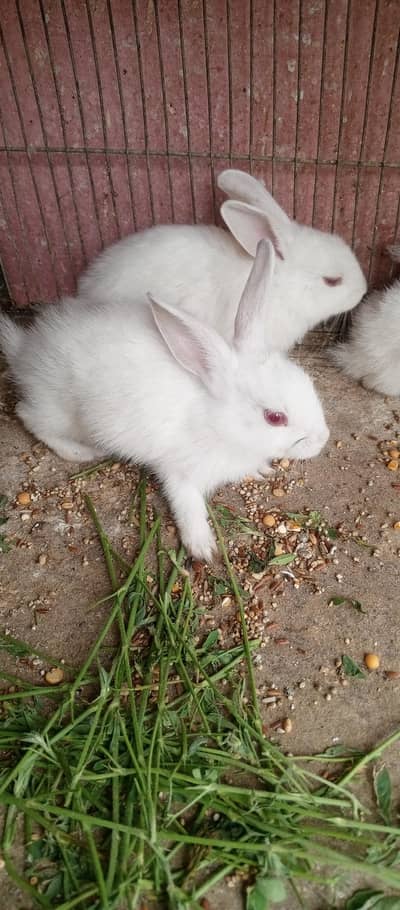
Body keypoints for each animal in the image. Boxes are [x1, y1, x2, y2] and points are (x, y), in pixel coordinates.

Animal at [0, 239, 329, 562]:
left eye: (307, 382)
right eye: (275, 417)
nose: (323, 439)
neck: (217, 421)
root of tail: (23, 351)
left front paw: (261, 471)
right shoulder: (180, 472)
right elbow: (188, 506)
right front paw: (204, 549)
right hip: (59, 411)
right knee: (27, 415)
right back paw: (79, 452)